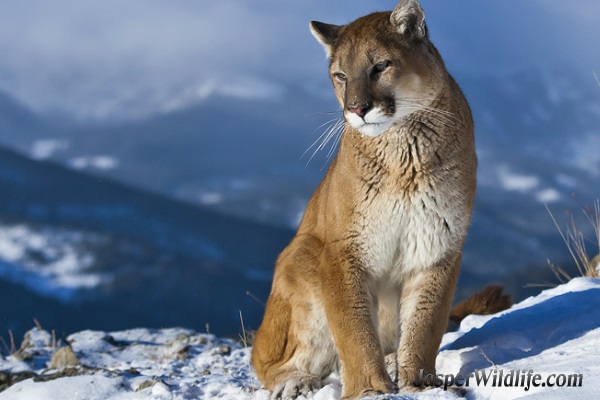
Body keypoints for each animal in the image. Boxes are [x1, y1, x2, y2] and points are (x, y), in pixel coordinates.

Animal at [251, 1, 476, 398]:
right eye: (340, 75)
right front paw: (370, 388)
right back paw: (295, 381)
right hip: (301, 257)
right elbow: (353, 329)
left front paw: (418, 382)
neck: (403, 153)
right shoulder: (343, 251)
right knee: (267, 359)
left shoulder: (437, 245)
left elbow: (425, 323)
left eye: (380, 66)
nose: (357, 108)